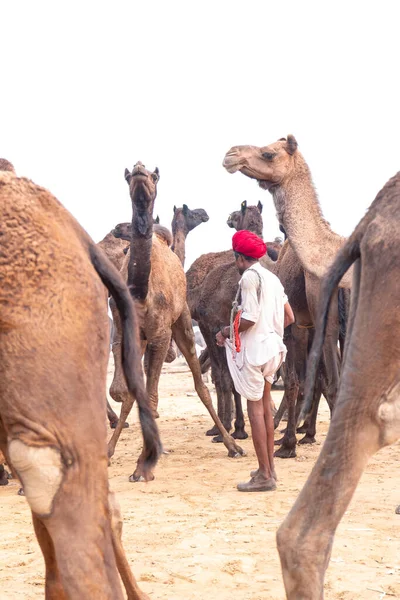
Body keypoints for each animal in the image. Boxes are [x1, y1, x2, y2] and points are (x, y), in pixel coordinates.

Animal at [107, 162, 244, 480]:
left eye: (154, 175)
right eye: (129, 175)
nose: (140, 170)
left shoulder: (160, 336)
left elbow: (150, 397)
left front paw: (141, 465)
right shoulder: (130, 336)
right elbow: (134, 395)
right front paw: (110, 452)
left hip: (181, 323)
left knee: (200, 383)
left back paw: (232, 445)